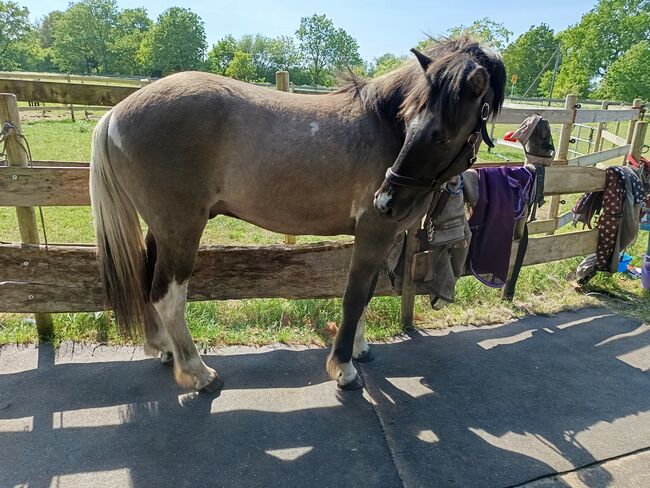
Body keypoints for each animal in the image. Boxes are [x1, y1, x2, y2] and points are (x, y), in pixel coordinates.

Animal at [90, 36, 506, 390]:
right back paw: (198, 372)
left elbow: (366, 294)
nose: (385, 201)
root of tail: (115, 114)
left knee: (148, 282)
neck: (383, 123)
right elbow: (354, 296)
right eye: (413, 123)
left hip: (162, 228)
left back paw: (163, 347)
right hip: (182, 228)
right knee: (168, 296)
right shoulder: (374, 233)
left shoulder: (382, 236)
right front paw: (344, 367)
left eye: (441, 134)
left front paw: (359, 349)